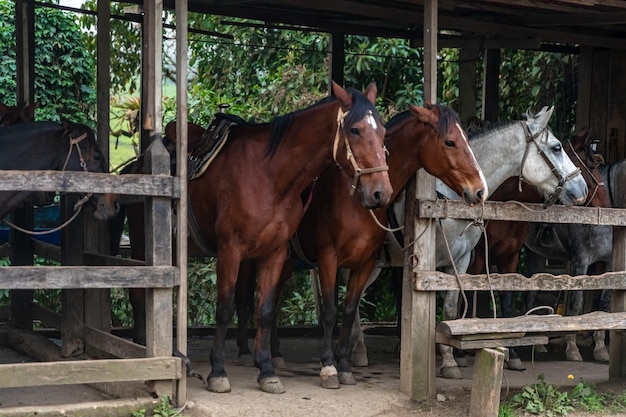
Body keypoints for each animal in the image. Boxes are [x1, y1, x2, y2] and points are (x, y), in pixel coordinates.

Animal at [114, 82, 392, 394]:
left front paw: (267, 370)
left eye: (383, 131)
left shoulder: (274, 253)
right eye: (355, 130)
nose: (381, 192)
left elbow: (266, 309)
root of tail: (136, 166)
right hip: (142, 244)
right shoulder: (230, 251)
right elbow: (224, 309)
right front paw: (218, 372)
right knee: (139, 291)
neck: (269, 176)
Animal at [344, 106, 588, 376]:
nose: (582, 189)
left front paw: (450, 360)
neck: (451, 194)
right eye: (556, 147)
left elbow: (452, 307)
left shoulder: (462, 260)